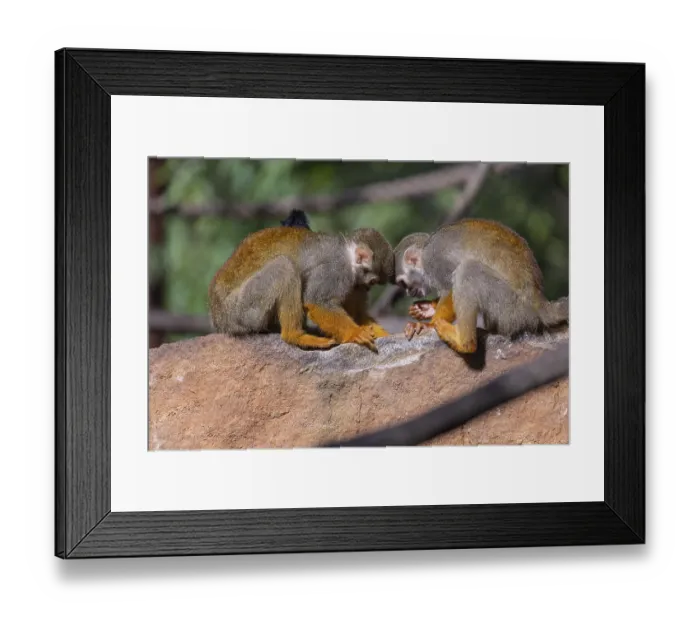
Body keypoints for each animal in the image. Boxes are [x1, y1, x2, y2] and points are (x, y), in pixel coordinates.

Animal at [208, 226, 394, 352]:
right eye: (372, 282)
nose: (366, 289)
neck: (348, 257)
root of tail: (219, 319)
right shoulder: (335, 269)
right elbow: (317, 302)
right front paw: (355, 333)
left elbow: (356, 313)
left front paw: (381, 332)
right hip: (242, 309)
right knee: (284, 266)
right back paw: (295, 335)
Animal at [392, 218, 568, 355]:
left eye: (403, 283)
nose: (409, 292)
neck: (425, 250)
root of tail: (540, 302)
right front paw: (427, 308)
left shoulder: (435, 260)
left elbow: (449, 288)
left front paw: (428, 324)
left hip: (513, 307)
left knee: (467, 269)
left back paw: (464, 342)